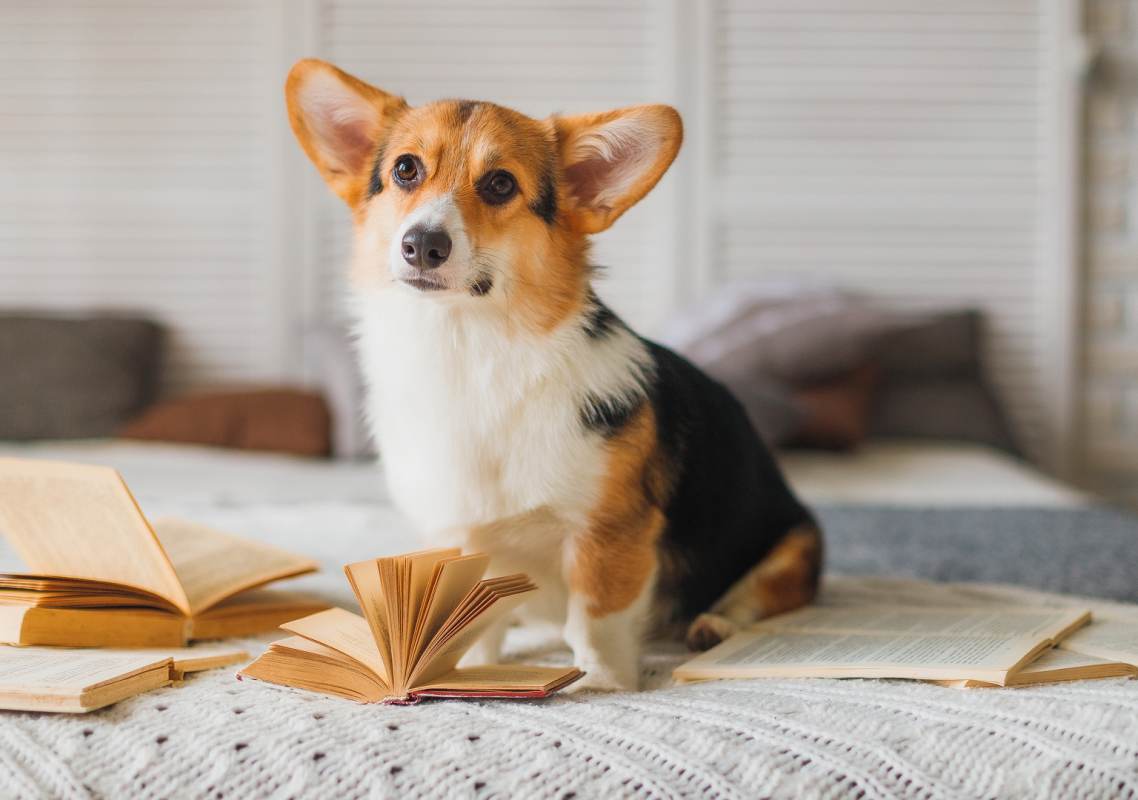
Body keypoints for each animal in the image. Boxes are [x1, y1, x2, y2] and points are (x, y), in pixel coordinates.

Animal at [283, 59, 819, 691]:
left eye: (500, 184)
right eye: (405, 169)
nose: (421, 244)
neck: (465, 352)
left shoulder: (608, 535)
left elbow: (595, 618)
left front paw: (600, 682)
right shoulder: (462, 542)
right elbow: (473, 620)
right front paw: (473, 670)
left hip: (795, 545)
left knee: (752, 597)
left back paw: (714, 626)